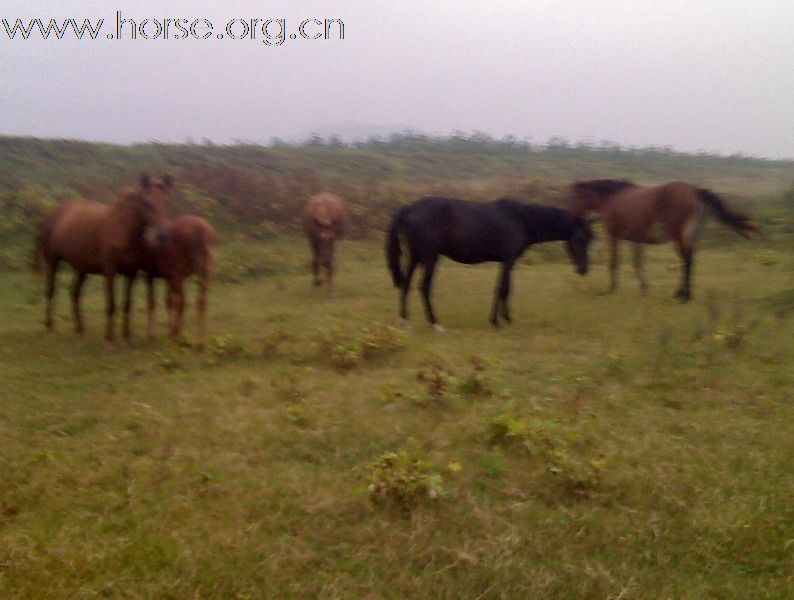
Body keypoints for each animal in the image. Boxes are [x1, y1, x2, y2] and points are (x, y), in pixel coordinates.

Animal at [33, 173, 173, 342]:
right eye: (147, 203)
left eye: (167, 202)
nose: (163, 235)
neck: (122, 229)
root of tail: (51, 215)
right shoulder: (110, 271)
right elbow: (111, 304)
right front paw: (109, 338)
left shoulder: (131, 273)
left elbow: (127, 304)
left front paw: (126, 336)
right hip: (53, 262)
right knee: (50, 290)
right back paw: (49, 326)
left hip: (82, 270)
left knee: (74, 292)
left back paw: (80, 328)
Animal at [143, 216, 215, 350]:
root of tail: (201, 231)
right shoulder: (168, 277)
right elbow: (168, 301)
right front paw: (168, 330)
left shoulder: (151, 274)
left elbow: (152, 302)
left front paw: (152, 336)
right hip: (205, 270)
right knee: (201, 302)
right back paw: (199, 343)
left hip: (180, 273)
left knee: (182, 302)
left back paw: (177, 335)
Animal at [380, 196, 592, 328]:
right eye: (580, 239)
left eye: (590, 239)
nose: (583, 269)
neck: (520, 219)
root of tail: (408, 209)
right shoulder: (507, 260)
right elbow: (502, 288)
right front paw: (496, 321)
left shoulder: (508, 262)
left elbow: (506, 288)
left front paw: (507, 319)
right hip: (430, 258)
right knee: (423, 287)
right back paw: (435, 323)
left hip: (415, 257)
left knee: (406, 284)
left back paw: (404, 321)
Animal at [568, 178, 756, 300]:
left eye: (575, 197)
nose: (573, 216)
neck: (612, 198)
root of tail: (695, 191)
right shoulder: (636, 240)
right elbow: (638, 262)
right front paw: (644, 289)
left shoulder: (613, 237)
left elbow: (614, 262)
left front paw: (611, 290)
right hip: (691, 236)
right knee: (690, 261)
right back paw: (684, 293)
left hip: (678, 236)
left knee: (685, 261)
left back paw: (683, 295)